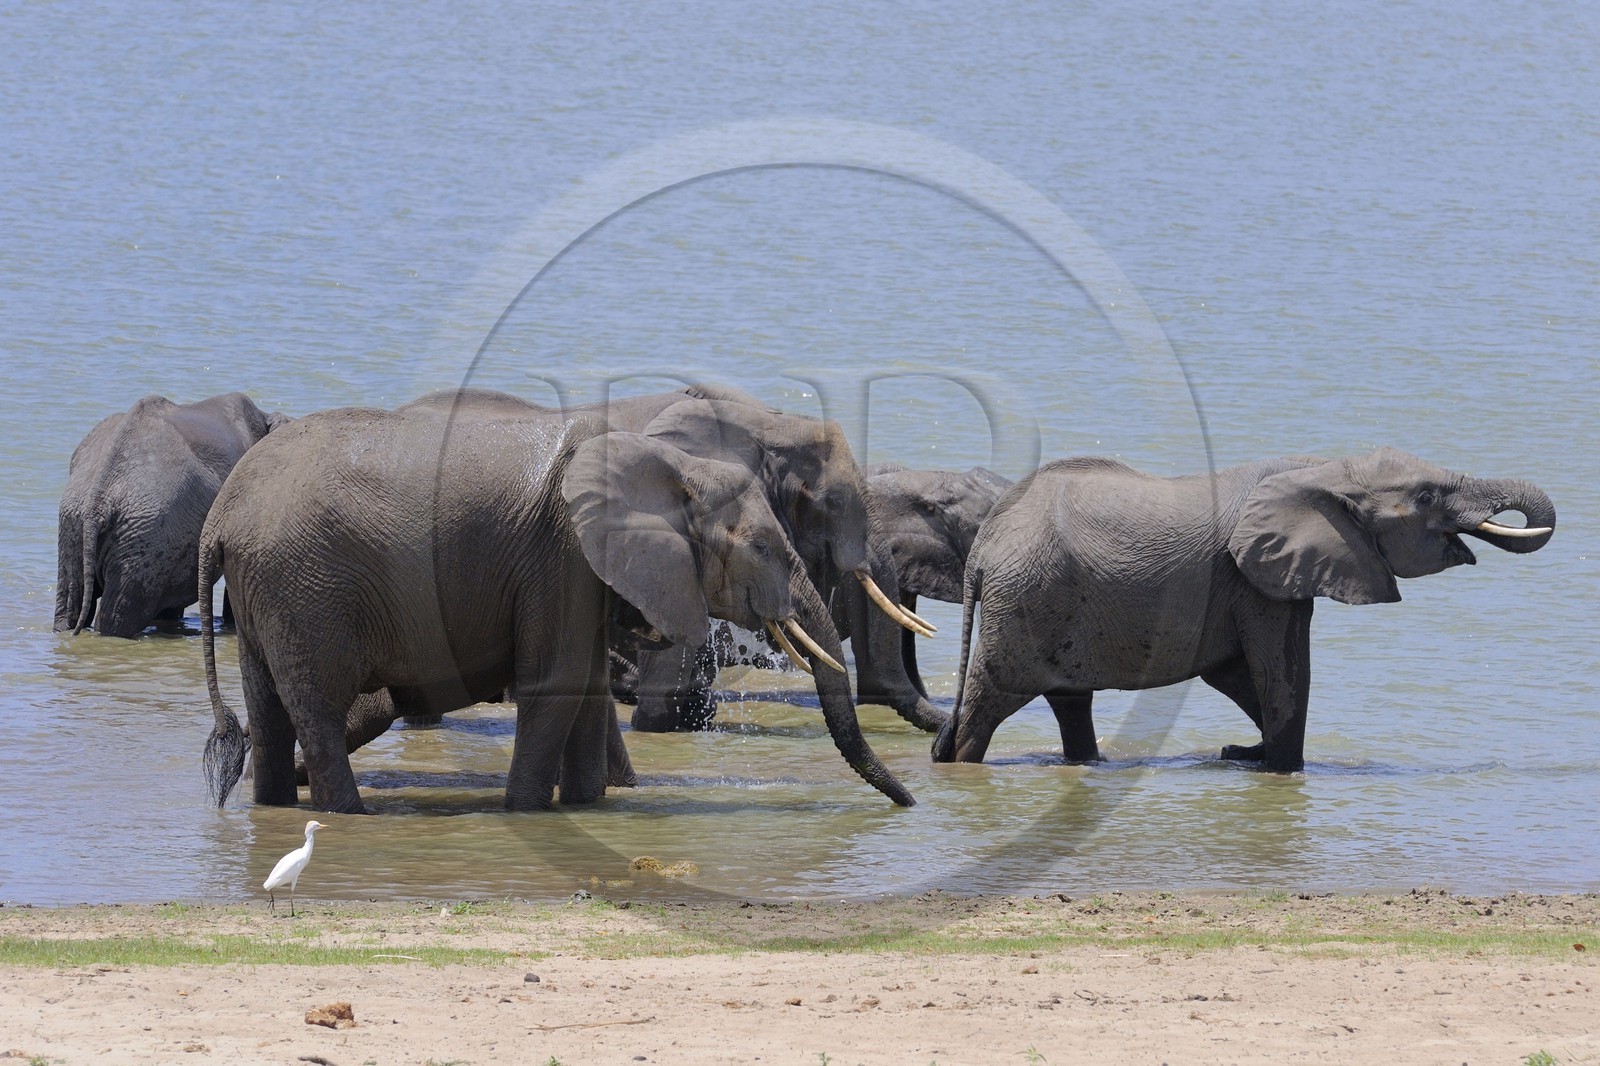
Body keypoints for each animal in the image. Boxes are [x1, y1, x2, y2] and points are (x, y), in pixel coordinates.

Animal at [202, 389, 914, 813]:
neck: (670, 469)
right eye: (764, 546)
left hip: (271, 591)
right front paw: (527, 813)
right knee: (317, 708)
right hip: (303, 589)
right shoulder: (562, 556)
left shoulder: (588, 575)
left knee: (269, 712)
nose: (910, 803)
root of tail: (220, 519)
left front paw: (585, 806)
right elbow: (557, 684)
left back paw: (276, 808)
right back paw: (348, 815)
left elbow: (587, 689)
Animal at [931, 448, 1556, 771]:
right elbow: (1282, 669)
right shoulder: (1252, 579)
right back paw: (959, 761)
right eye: (1426, 497)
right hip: (1026, 602)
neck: (1322, 466)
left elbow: (1244, 674)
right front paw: (1278, 769)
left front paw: (1242, 755)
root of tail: (983, 547)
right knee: (992, 699)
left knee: (1069, 701)